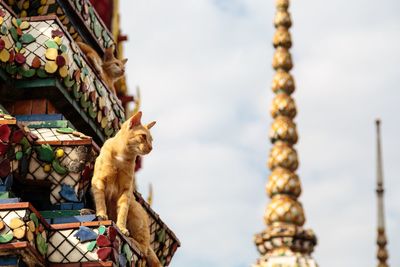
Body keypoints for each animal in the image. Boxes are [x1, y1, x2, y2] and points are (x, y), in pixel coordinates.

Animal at [91, 112, 160, 266]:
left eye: (152, 140)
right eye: (143, 136)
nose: (151, 148)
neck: (122, 157)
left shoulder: (126, 192)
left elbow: (122, 212)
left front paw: (121, 228)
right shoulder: (99, 182)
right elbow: (100, 201)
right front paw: (102, 215)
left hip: (134, 209)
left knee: (144, 249)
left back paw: (133, 239)